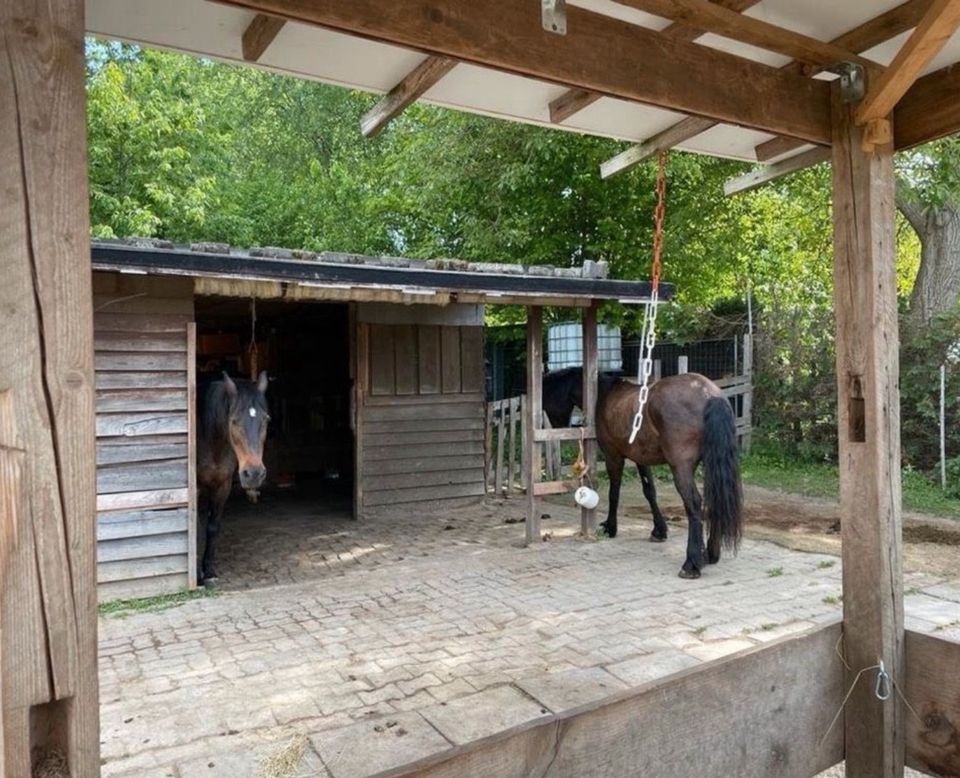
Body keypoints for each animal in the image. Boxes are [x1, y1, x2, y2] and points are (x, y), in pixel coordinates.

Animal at [196, 370, 268, 584]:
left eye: (266, 419)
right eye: (234, 421)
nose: (254, 474)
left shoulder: (222, 486)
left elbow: (213, 527)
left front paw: (209, 572)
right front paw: (198, 576)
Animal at [540, 368, 744, 576]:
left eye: (546, 400)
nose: (556, 431)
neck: (606, 394)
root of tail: (709, 394)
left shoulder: (613, 456)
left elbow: (614, 492)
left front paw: (610, 527)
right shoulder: (641, 459)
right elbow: (650, 491)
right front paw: (659, 530)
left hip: (681, 469)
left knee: (694, 504)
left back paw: (692, 563)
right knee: (715, 498)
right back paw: (710, 555)